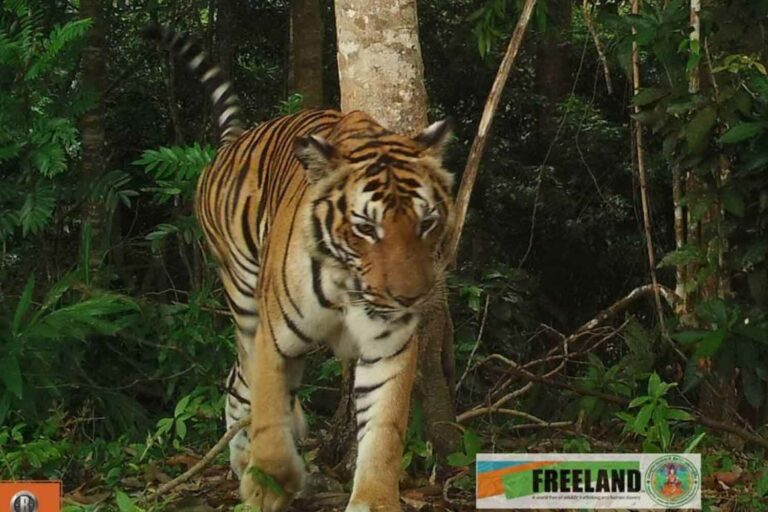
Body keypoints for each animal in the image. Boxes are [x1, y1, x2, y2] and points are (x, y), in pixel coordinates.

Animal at [146, 24, 455, 512]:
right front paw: (274, 480)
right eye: (366, 228)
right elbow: (271, 418)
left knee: (237, 379)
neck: (350, 287)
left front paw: (374, 500)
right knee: (244, 376)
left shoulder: (387, 346)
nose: (411, 298)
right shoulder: (277, 338)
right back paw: (248, 464)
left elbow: (383, 432)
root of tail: (235, 140)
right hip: (244, 296)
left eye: (427, 223)